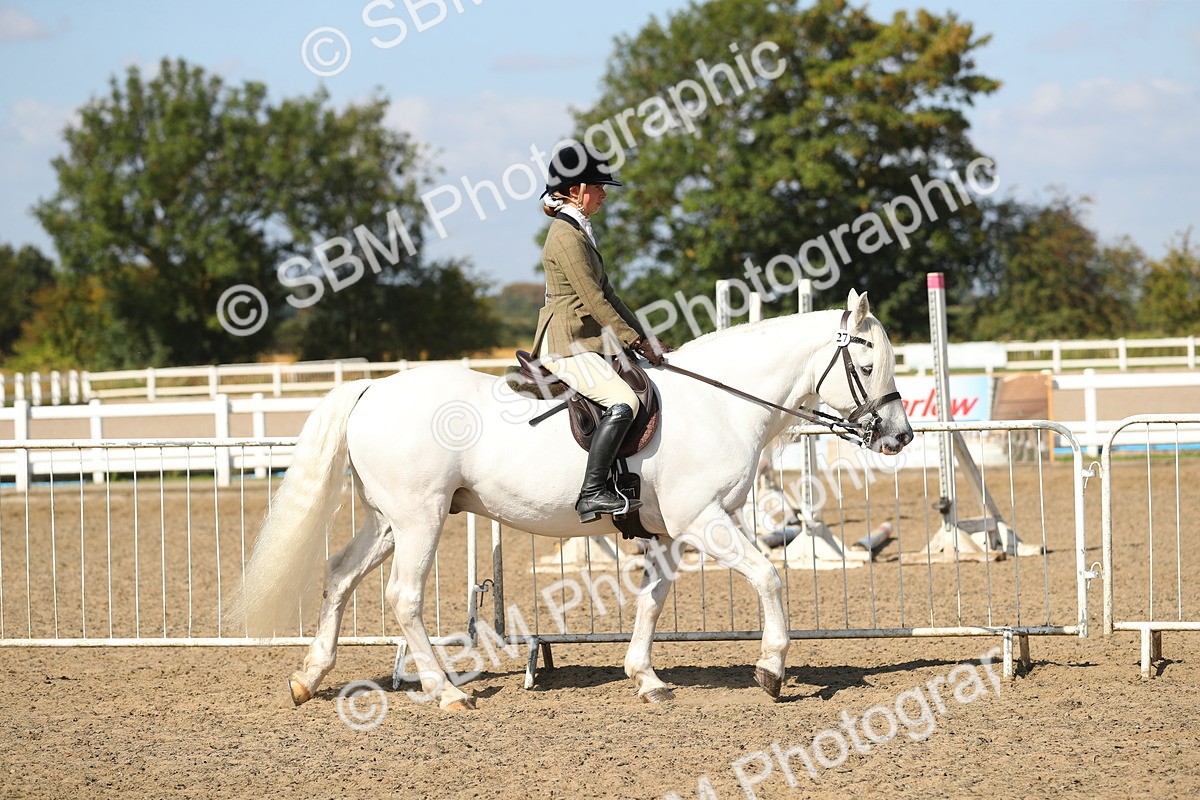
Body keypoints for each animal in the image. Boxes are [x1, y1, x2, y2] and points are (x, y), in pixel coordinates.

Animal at [230, 289, 913, 710]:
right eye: (869, 365)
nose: (899, 436)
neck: (719, 403)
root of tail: (372, 389)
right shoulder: (703, 519)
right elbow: (769, 577)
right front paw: (770, 671)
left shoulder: (669, 530)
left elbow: (652, 600)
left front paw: (646, 678)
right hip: (420, 518)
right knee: (403, 598)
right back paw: (447, 691)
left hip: (390, 520)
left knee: (340, 574)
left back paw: (308, 678)